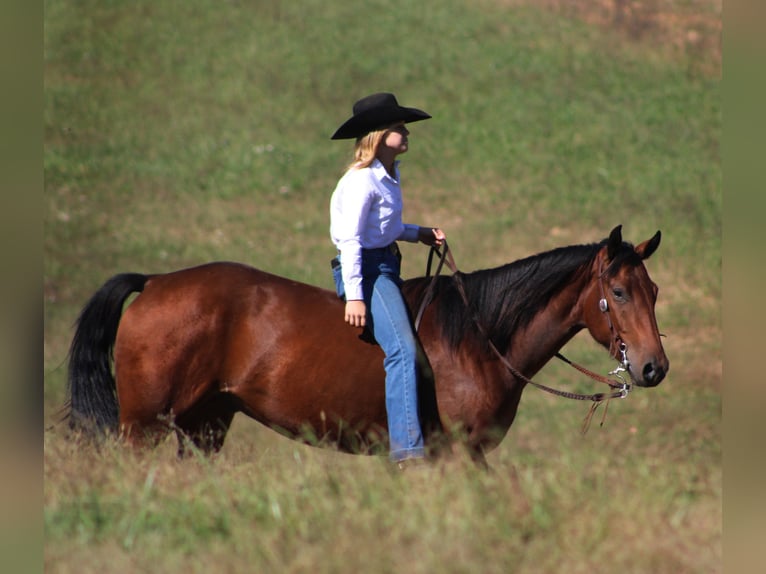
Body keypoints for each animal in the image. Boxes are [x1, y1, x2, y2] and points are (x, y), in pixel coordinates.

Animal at [65, 225, 668, 465]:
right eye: (618, 291)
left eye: (654, 291)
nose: (653, 368)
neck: (478, 339)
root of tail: (155, 283)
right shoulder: (458, 453)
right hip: (141, 426)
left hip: (203, 425)